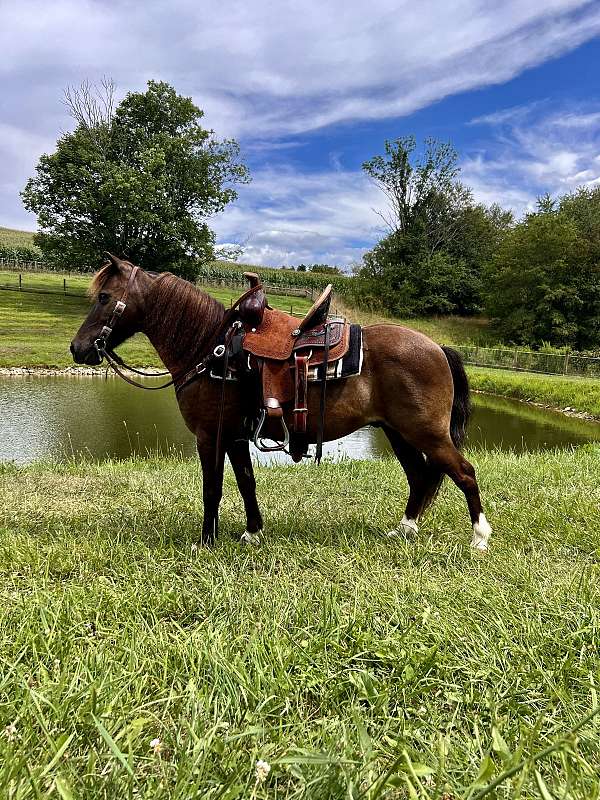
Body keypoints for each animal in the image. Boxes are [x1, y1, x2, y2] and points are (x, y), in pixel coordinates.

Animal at [70, 255, 492, 552]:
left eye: (105, 297)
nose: (78, 348)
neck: (211, 349)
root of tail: (437, 347)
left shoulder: (210, 435)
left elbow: (212, 488)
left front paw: (206, 541)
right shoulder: (236, 437)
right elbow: (246, 482)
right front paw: (252, 533)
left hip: (426, 433)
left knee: (464, 473)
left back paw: (479, 537)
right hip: (398, 432)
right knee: (420, 477)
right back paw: (404, 529)